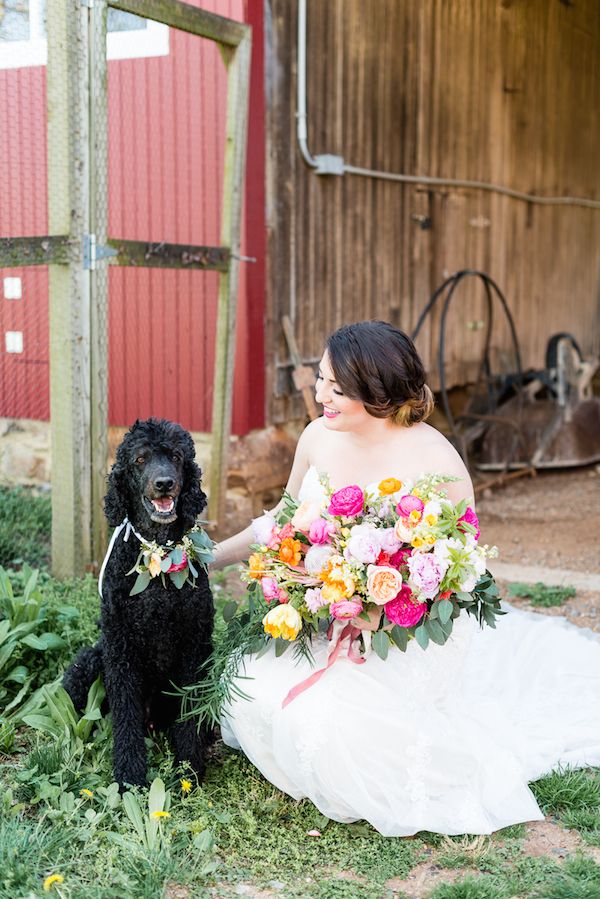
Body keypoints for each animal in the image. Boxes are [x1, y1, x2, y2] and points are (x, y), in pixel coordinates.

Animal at [62, 418, 213, 792]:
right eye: (140, 459)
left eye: (175, 456)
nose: (164, 483)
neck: (158, 553)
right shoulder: (120, 648)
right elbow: (125, 716)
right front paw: (129, 778)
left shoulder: (193, 646)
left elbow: (189, 712)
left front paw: (189, 769)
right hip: (90, 661)